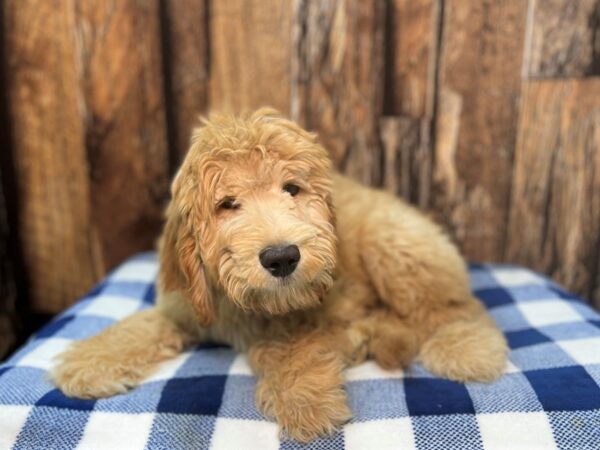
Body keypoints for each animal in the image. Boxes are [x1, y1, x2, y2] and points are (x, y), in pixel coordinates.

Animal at [52, 110, 506, 442]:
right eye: (227, 204)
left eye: (291, 189)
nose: (282, 257)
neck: (241, 302)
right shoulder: (184, 304)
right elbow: (140, 327)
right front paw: (91, 360)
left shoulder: (311, 307)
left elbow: (290, 346)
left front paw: (306, 402)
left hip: (394, 243)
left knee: (453, 306)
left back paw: (466, 346)